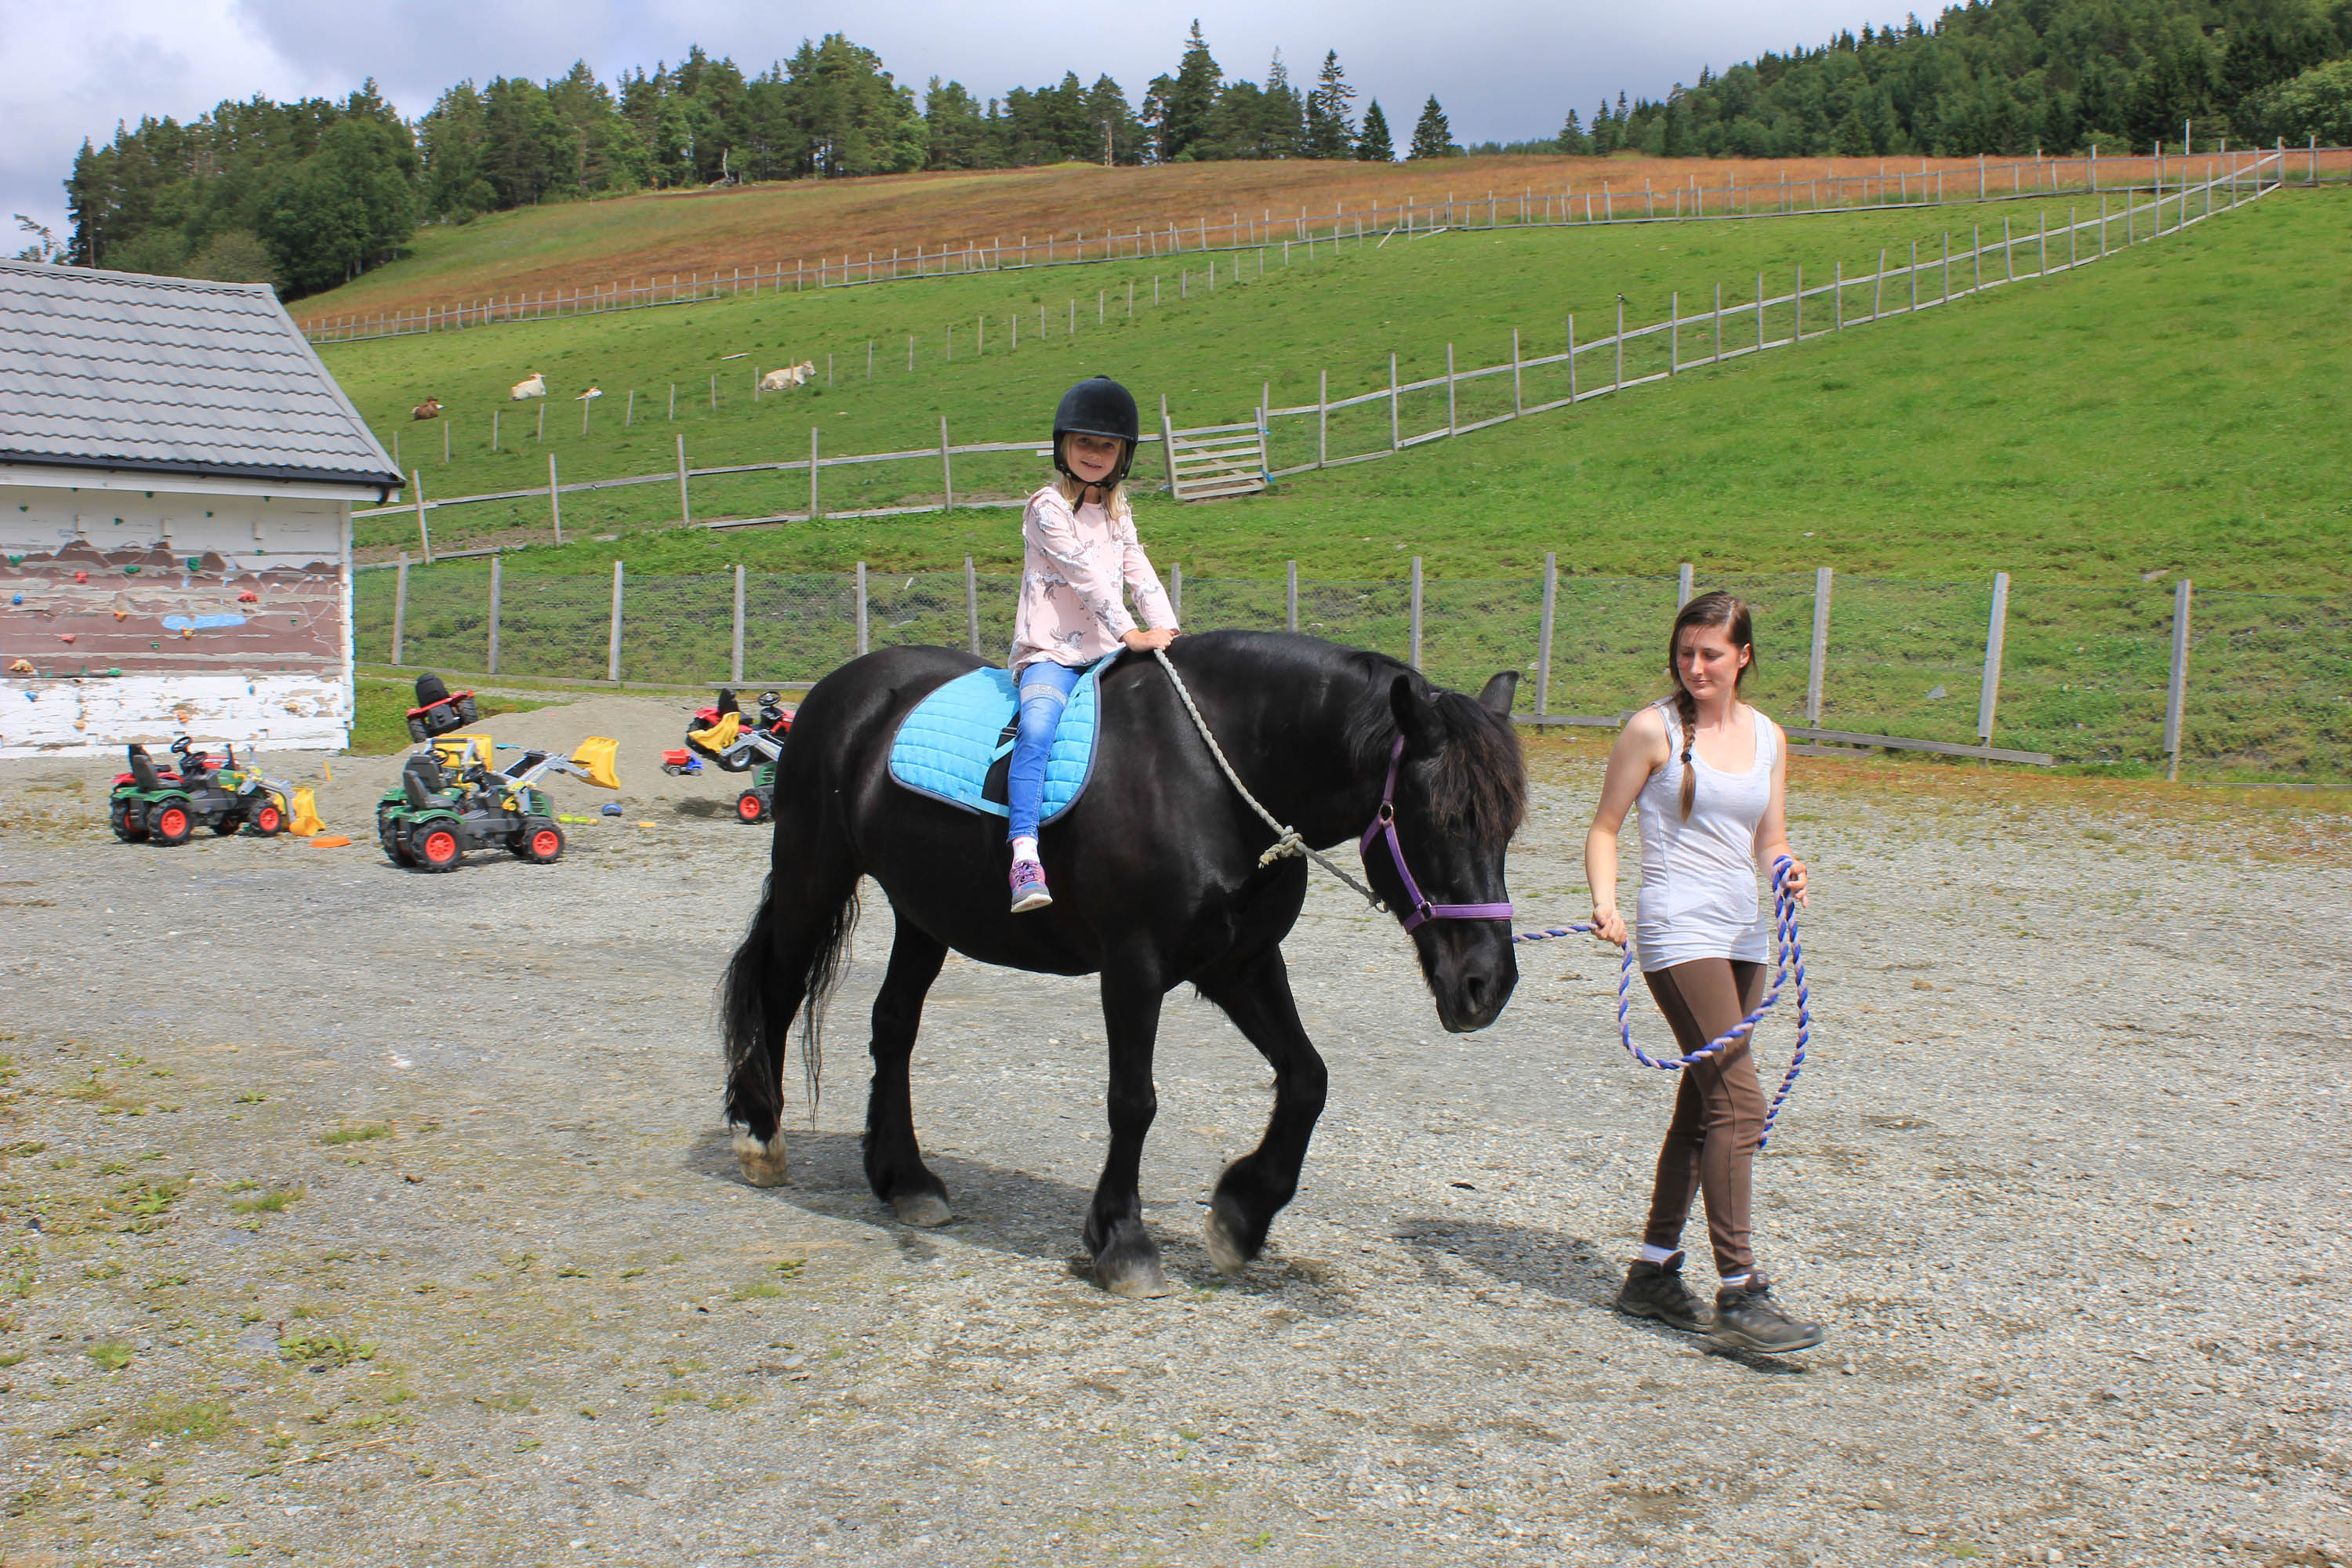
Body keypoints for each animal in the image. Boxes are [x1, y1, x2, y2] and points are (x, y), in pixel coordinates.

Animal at [720, 630, 1524, 1298]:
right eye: (1437, 817)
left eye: (1509, 824)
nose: (1486, 986)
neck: (1211, 777)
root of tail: (842, 690)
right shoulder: (1134, 967)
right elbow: (1134, 1101)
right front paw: (1123, 1241)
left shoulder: (1242, 963)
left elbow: (1307, 1079)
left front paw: (1241, 1215)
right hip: (814, 874)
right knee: (779, 990)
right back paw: (760, 1135)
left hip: (924, 913)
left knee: (892, 1026)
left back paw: (906, 1179)